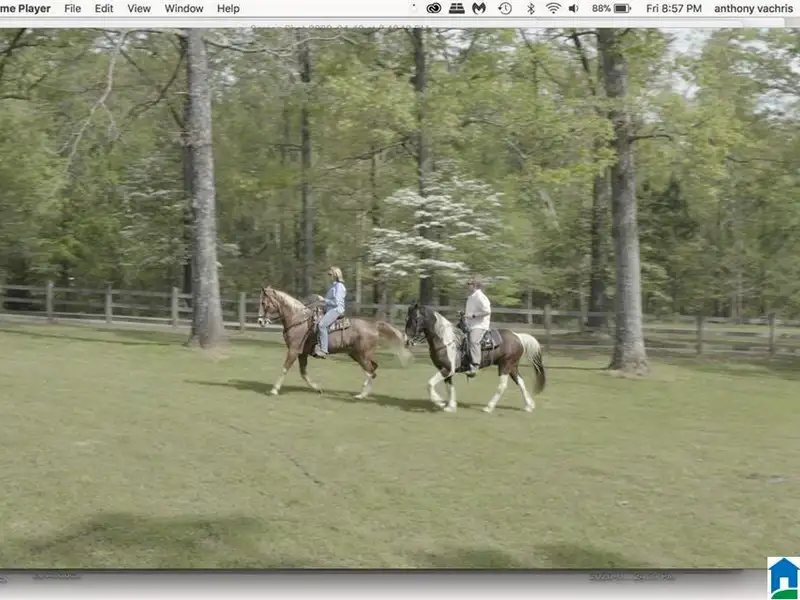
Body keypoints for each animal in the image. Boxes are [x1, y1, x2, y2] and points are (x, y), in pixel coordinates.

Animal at [257, 286, 411, 399]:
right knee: (373, 369)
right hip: (356, 354)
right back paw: (363, 393)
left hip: (363, 354)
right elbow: (303, 373)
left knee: (370, 371)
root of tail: (373, 326)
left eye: (263, 303)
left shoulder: (294, 350)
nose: (260, 321)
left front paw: (274, 390)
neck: (298, 319)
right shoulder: (302, 353)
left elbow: (285, 368)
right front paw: (318, 388)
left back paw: (361, 395)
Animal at [404, 302, 546, 414]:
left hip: (505, 365)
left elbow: (430, 384)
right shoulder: (446, 370)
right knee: (520, 382)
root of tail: (518, 336)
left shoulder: (447, 368)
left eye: (415, 319)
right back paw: (529, 405)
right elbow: (449, 387)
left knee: (502, 386)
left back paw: (489, 407)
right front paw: (451, 406)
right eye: (406, 319)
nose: (407, 341)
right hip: (512, 366)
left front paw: (439, 402)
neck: (445, 340)